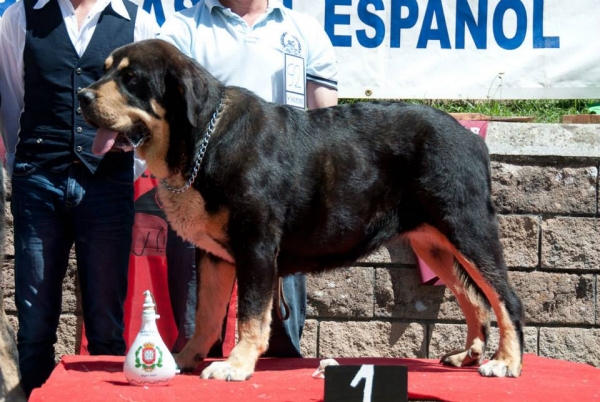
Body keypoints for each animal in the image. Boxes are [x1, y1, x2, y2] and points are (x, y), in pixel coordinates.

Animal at [77, 40, 524, 380]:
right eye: (105, 72)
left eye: (132, 79)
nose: (82, 96)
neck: (205, 139)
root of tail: (470, 137)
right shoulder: (212, 255)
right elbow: (206, 314)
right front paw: (186, 358)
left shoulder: (256, 247)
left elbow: (250, 316)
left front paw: (235, 365)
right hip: (435, 244)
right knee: (476, 300)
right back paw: (468, 355)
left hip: (468, 230)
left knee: (505, 299)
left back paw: (505, 362)